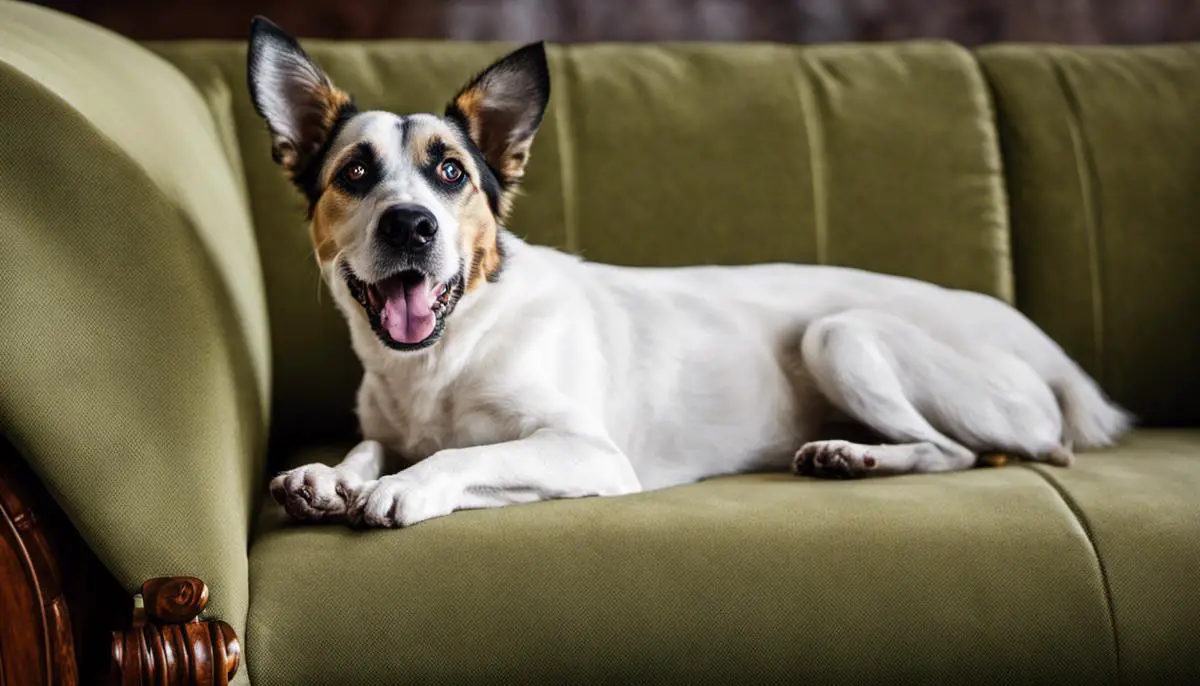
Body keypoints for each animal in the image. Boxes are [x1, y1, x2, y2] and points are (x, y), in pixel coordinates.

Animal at [248, 18, 1128, 527]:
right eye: (356, 174)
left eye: (451, 172)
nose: (412, 223)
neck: (443, 353)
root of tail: (1039, 346)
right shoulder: (390, 423)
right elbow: (370, 448)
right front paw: (329, 475)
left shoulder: (591, 453)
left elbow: (468, 456)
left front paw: (410, 486)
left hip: (841, 334)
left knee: (965, 451)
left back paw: (860, 456)